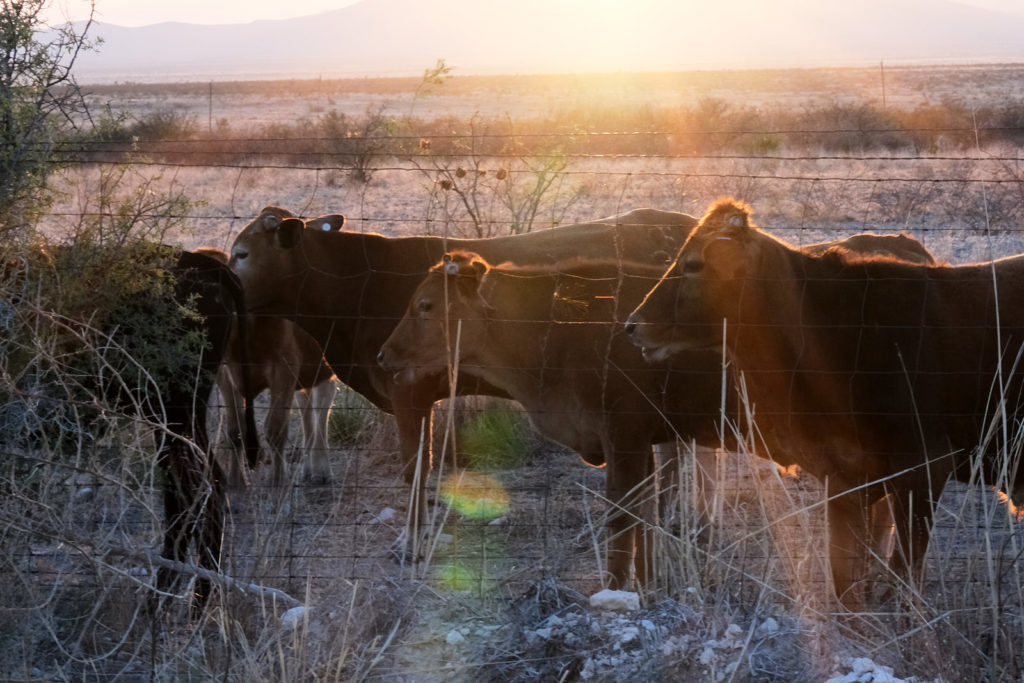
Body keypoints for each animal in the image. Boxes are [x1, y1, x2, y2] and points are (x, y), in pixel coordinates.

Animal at [198, 245, 339, 485]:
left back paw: (321, 469)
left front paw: (278, 481)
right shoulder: (225, 375)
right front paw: (237, 484)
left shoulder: (284, 369)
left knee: (322, 405)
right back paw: (308, 467)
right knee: (307, 405)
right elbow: (235, 430)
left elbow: (276, 428)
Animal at [626, 197, 1024, 610]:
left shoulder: (925, 466)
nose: (632, 324)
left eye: (693, 264)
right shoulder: (843, 479)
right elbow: (844, 579)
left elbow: (902, 578)